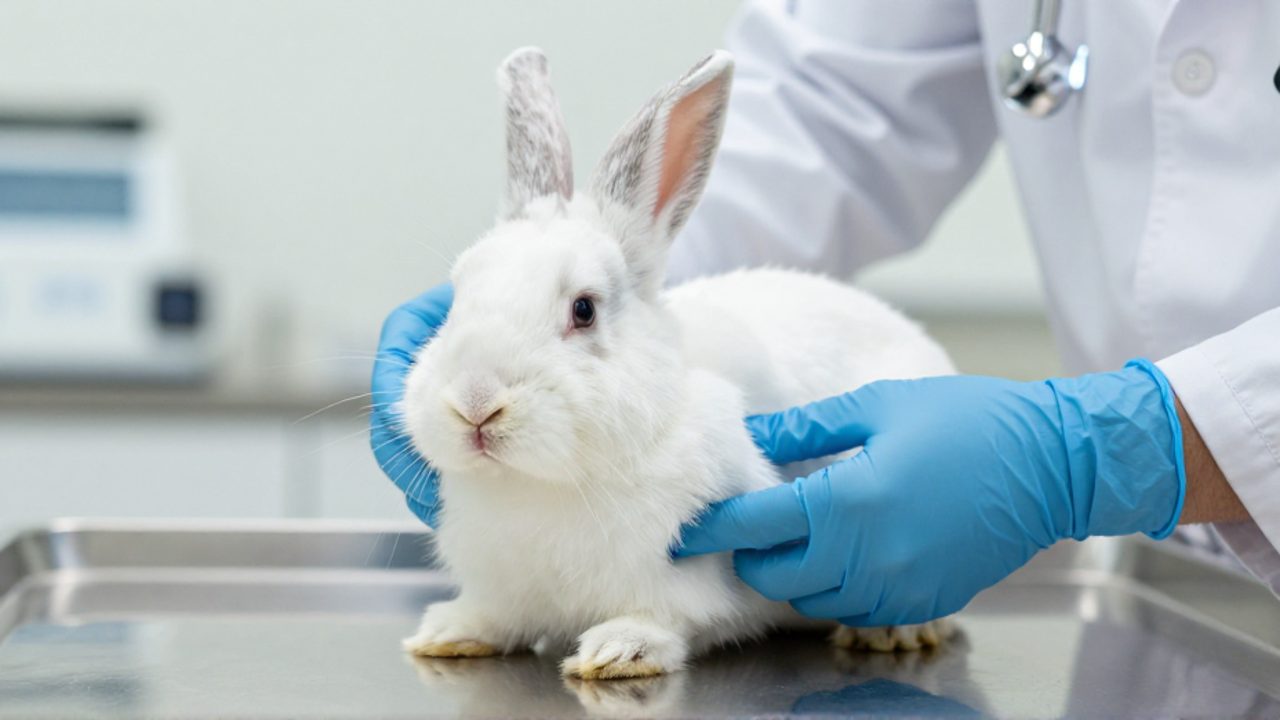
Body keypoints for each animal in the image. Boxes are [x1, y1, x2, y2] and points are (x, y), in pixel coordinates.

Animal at [398, 47, 956, 681]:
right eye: (457, 297)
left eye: (584, 309)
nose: (475, 403)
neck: (540, 484)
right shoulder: (504, 586)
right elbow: (495, 615)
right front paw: (449, 632)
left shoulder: (682, 579)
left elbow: (668, 620)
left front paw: (618, 651)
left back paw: (889, 631)